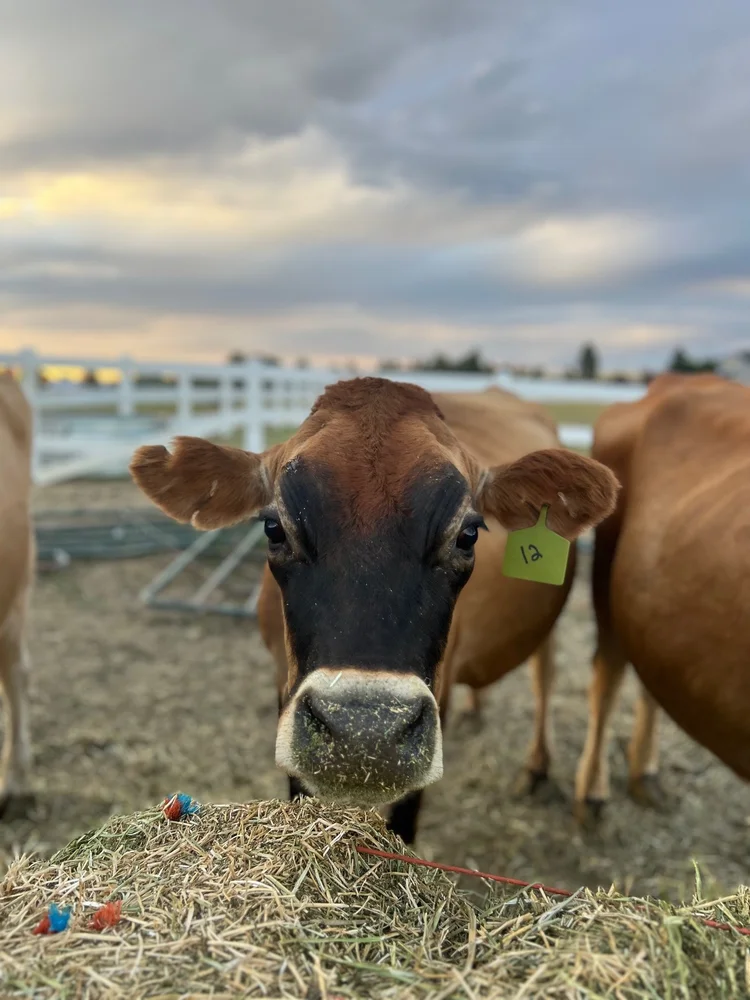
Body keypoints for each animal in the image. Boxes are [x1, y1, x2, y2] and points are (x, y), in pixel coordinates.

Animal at [131, 377, 618, 842]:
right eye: (273, 527)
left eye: (467, 535)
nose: (365, 734)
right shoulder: (281, 680)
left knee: (545, 673)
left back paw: (537, 767)